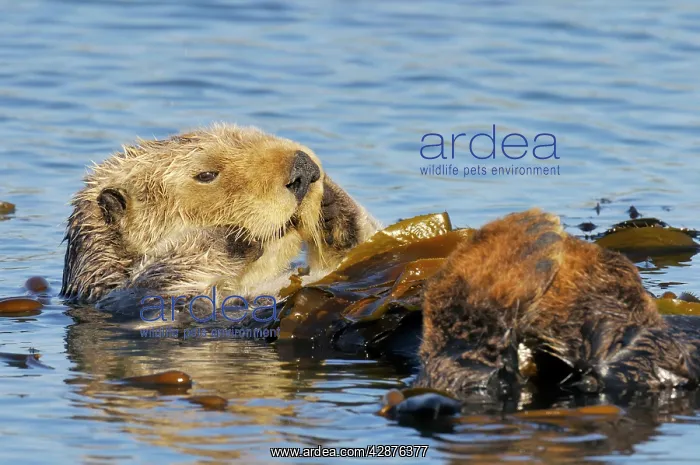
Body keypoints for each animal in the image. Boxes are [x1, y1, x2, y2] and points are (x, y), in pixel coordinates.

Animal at [60, 124, 380, 312]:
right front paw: (231, 236)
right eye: (206, 175)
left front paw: (333, 206)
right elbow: (163, 284)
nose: (304, 168)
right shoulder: (132, 299)